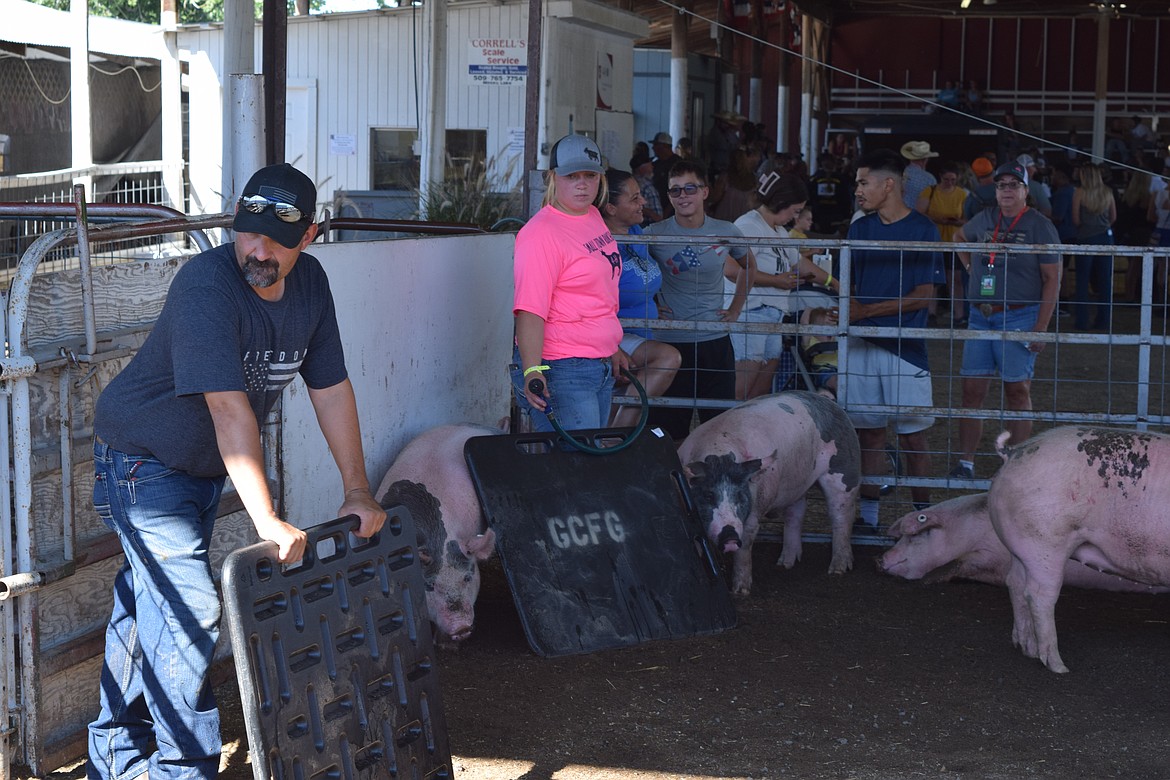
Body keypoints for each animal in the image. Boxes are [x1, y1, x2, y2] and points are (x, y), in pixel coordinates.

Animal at [678, 392, 861, 594]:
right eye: (708, 496)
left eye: (740, 496)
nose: (730, 536)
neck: (719, 451)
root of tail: (827, 400)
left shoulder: (755, 509)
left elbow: (745, 545)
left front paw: (741, 591)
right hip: (796, 482)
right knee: (796, 513)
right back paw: (785, 563)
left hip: (844, 470)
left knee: (842, 514)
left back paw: (837, 570)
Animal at [992, 423, 1170, 673]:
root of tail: (1014, 451)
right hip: (1044, 542)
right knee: (1038, 595)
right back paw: (1058, 666)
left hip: (1020, 546)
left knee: (1014, 583)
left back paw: (1027, 649)